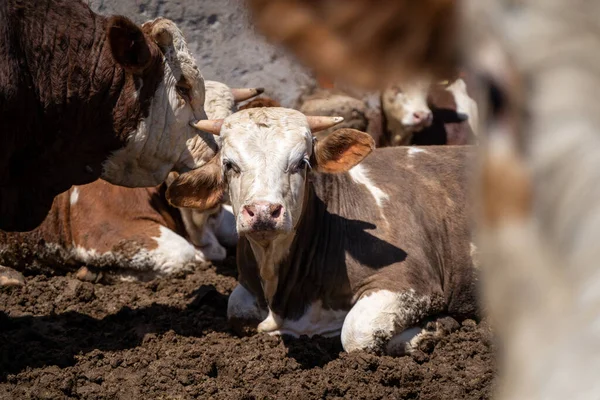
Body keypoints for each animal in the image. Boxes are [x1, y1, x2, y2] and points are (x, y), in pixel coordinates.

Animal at [165, 108, 478, 354]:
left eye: (301, 163)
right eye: (229, 164)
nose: (264, 211)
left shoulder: (412, 280)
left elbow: (356, 333)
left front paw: (432, 329)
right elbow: (237, 311)